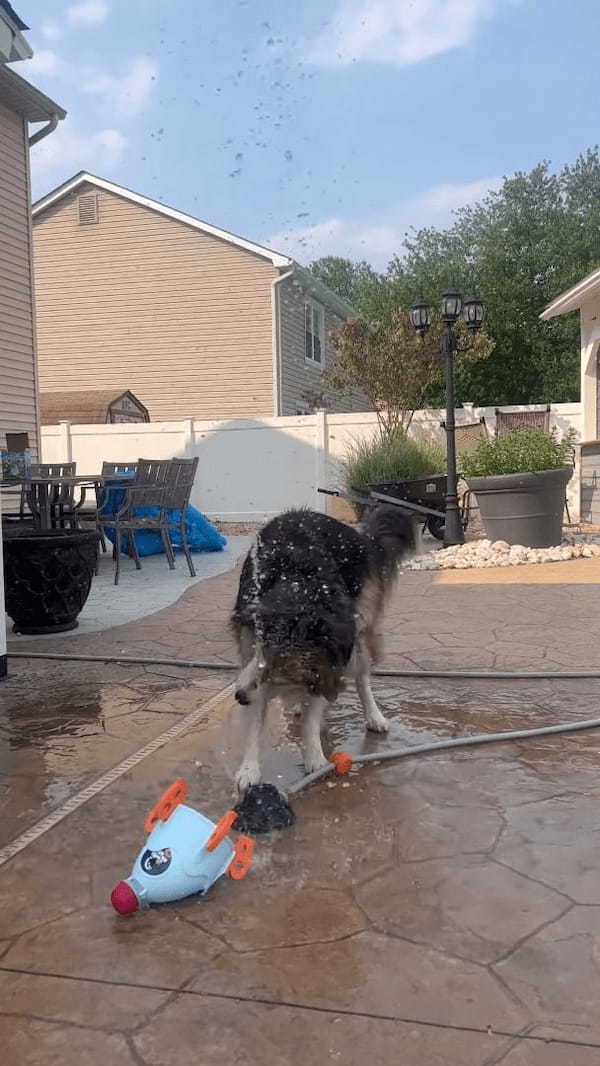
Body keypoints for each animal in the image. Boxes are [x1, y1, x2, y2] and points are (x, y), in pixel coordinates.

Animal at [231, 503, 417, 797]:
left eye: (278, 666)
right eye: (259, 650)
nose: (238, 697)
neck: (299, 586)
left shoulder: (332, 659)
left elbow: (313, 712)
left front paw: (315, 757)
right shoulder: (250, 651)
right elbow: (256, 722)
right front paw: (248, 770)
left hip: (360, 630)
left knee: (362, 678)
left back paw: (373, 716)